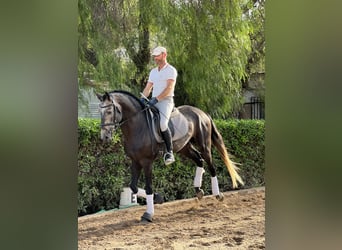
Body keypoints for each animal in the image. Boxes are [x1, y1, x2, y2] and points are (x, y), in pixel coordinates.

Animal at [96, 90, 244, 223]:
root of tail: (202, 112)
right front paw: (158, 198)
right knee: (199, 159)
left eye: (109, 112)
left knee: (211, 165)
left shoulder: (146, 162)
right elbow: (133, 187)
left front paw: (148, 214)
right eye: (100, 113)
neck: (137, 126)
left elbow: (148, 187)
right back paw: (198, 191)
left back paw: (218, 194)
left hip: (204, 145)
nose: (104, 137)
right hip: (184, 147)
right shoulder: (135, 161)